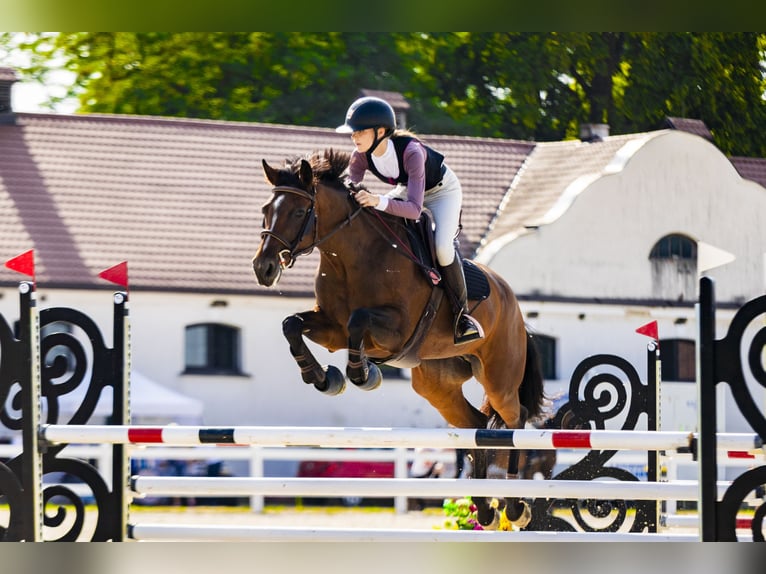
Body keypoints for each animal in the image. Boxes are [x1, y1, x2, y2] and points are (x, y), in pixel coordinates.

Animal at [254, 148, 544, 532]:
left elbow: (359, 322)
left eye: (300, 212)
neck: (349, 256)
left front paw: (363, 374)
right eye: (265, 209)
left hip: (500, 377)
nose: (263, 269)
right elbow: (292, 325)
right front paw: (323, 378)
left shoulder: (395, 330)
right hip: (437, 387)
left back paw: (513, 506)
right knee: (477, 427)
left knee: (513, 420)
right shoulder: (331, 327)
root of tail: (514, 305)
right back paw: (484, 509)